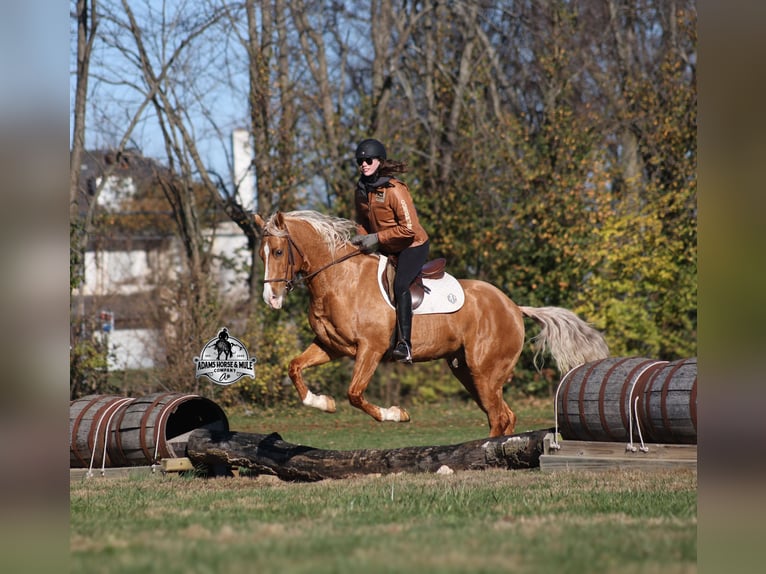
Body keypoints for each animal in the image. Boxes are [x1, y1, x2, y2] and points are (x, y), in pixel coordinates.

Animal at [253, 210, 609, 437]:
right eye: (261, 255)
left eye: (279, 251)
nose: (271, 298)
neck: (340, 279)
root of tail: (512, 306)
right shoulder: (331, 346)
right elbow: (295, 367)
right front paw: (322, 403)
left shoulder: (371, 349)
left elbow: (354, 393)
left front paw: (396, 414)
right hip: (466, 371)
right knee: (504, 416)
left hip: (485, 371)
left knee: (498, 416)